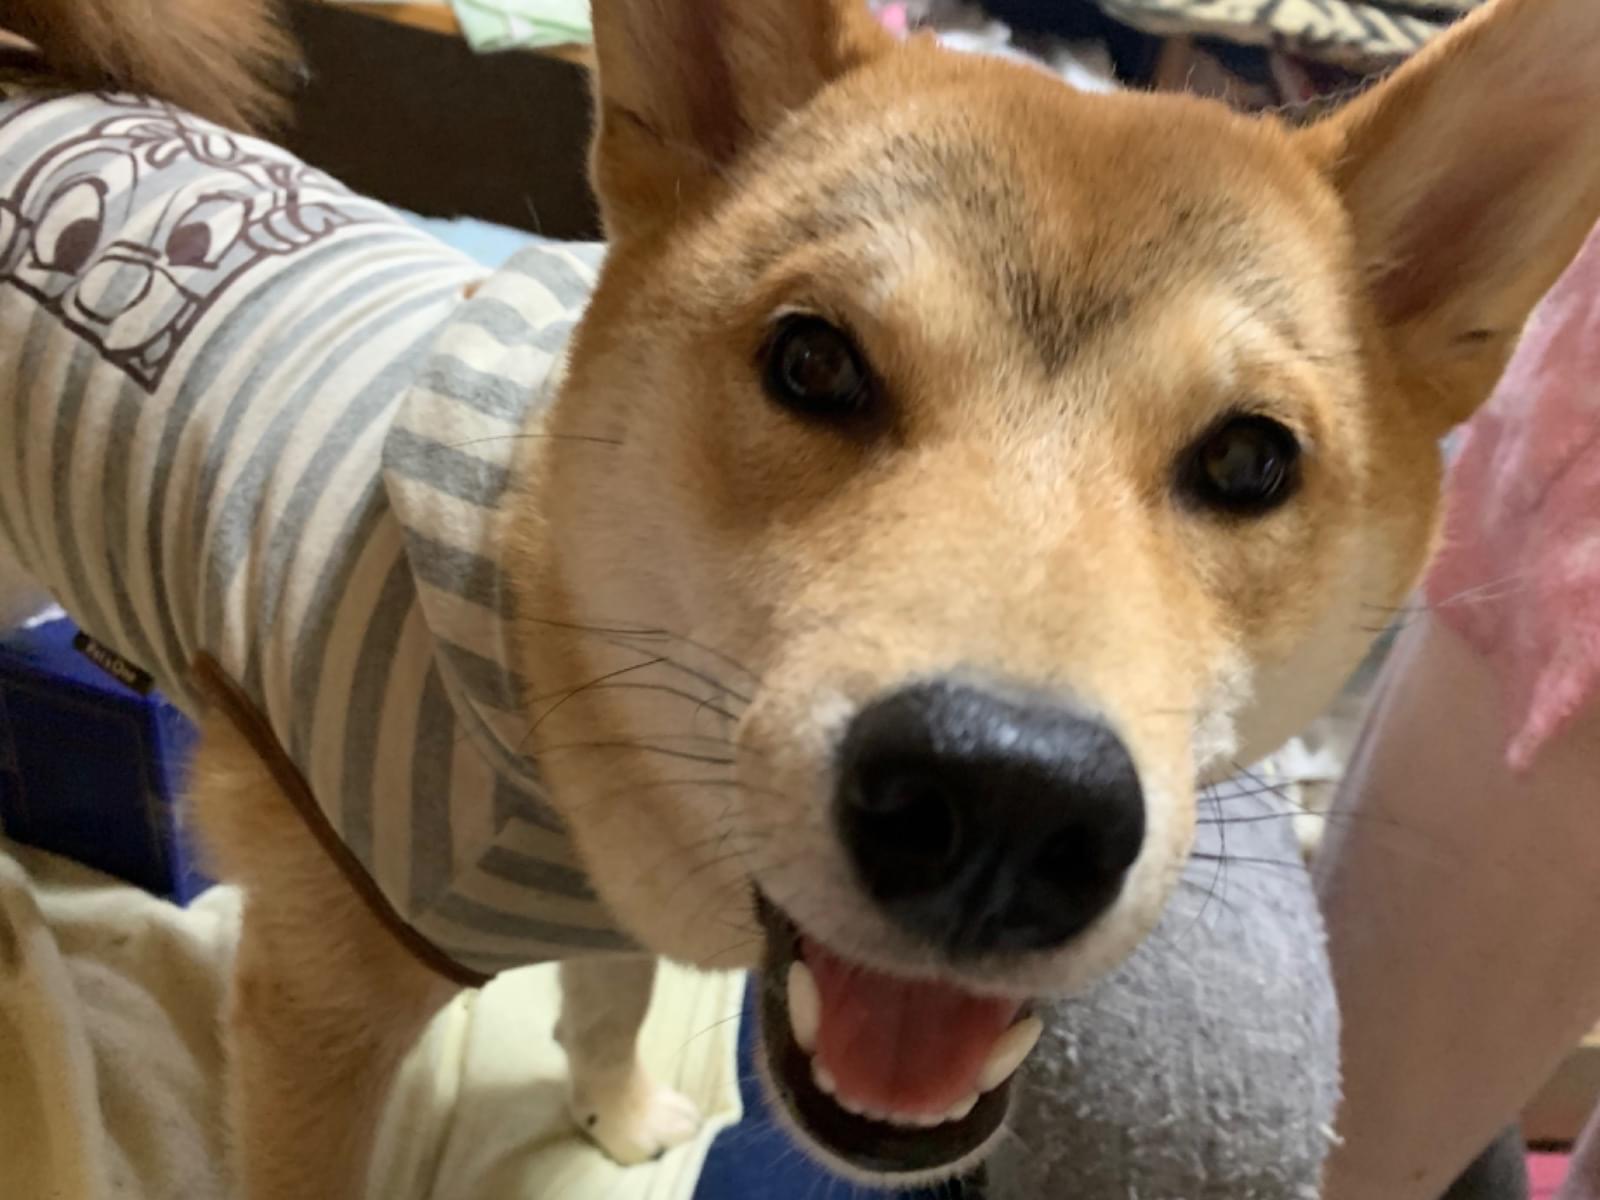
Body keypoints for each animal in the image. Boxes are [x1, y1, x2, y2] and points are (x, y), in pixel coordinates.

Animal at [1, 0, 1597, 1194]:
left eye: (1251, 459)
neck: (541, 680)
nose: (1002, 806)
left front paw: (617, 1116)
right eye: (814, 363)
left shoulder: (605, 915)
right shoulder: (317, 1010)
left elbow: (606, 1007)